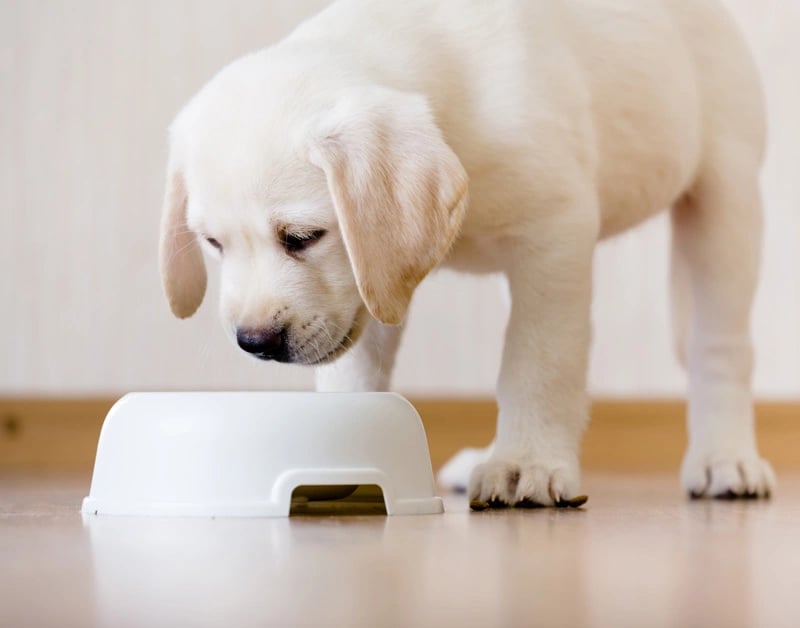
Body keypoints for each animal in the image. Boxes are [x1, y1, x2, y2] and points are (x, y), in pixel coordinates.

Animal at [158, 0, 776, 506]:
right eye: (213, 243)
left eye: (302, 237)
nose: (255, 342)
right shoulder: (372, 279)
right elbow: (355, 374)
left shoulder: (556, 234)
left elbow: (537, 360)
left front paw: (527, 463)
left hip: (725, 202)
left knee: (720, 347)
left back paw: (725, 458)